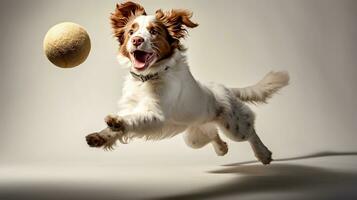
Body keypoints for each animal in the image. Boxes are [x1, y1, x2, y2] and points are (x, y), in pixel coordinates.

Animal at [86, 1, 290, 164]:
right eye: (131, 31)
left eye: (154, 31)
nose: (137, 40)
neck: (146, 79)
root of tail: (225, 88)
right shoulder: (131, 106)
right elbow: (115, 129)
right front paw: (99, 137)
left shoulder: (156, 115)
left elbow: (133, 118)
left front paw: (117, 121)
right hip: (194, 137)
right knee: (213, 135)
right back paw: (222, 149)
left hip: (234, 126)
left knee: (250, 130)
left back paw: (264, 154)